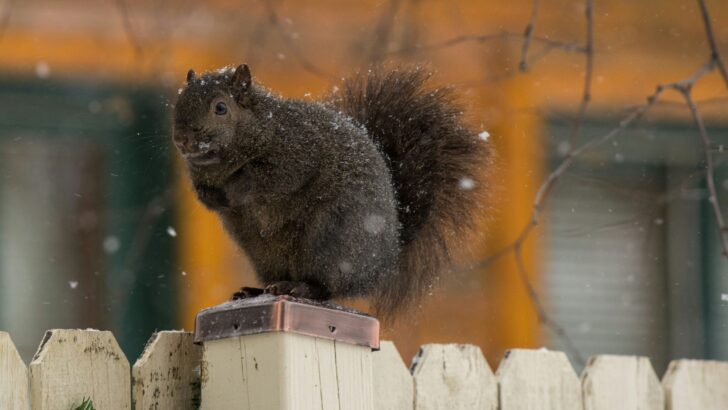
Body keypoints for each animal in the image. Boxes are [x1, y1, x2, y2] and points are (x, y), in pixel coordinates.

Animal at [173, 65, 490, 318]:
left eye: (221, 107)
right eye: (178, 101)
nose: (181, 140)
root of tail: (384, 260)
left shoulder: (297, 152)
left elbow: (274, 178)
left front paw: (237, 186)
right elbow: (208, 197)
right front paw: (213, 195)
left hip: (332, 239)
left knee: (327, 287)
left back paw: (300, 287)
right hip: (265, 254)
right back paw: (256, 290)